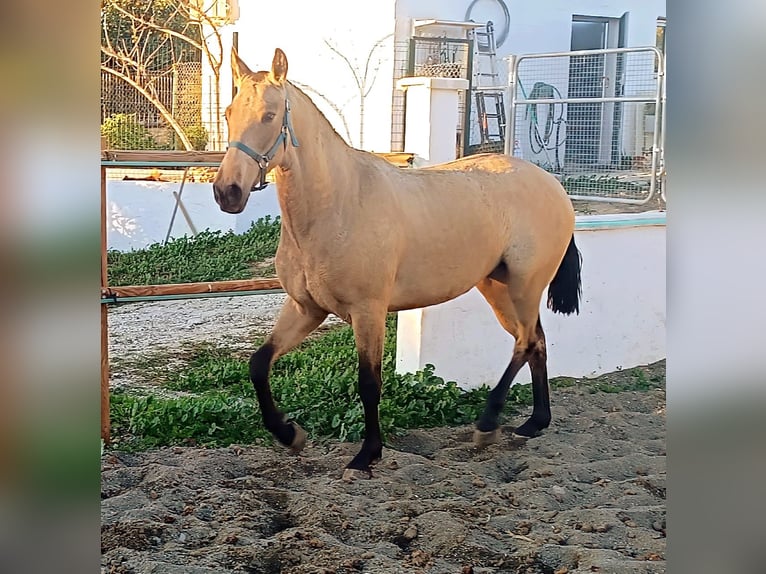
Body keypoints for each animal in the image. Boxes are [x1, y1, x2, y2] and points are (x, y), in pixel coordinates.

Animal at [210, 47, 584, 484]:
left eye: (270, 115)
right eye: (229, 112)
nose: (227, 192)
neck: (338, 204)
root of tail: (553, 185)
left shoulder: (368, 311)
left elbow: (369, 383)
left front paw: (366, 455)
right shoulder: (306, 309)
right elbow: (258, 364)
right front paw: (290, 434)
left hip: (524, 287)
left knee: (525, 342)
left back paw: (488, 424)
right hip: (499, 288)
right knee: (535, 341)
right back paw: (533, 423)